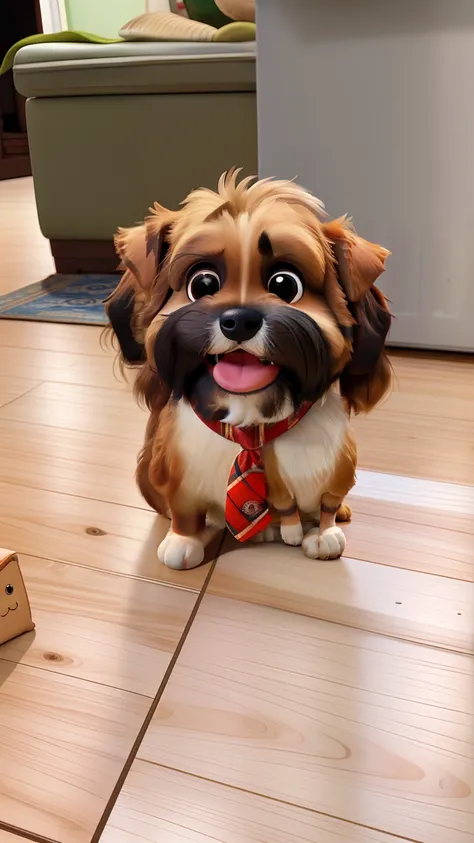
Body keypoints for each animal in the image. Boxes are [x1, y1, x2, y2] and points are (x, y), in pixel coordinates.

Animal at [107, 168, 392, 572]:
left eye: (285, 283)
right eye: (202, 283)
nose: (239, 321)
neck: (250, 423)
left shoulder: (328, 470)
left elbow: (322, 504)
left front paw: (321, 535)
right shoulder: (177, 474)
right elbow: (185, 511)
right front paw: (184, 541)